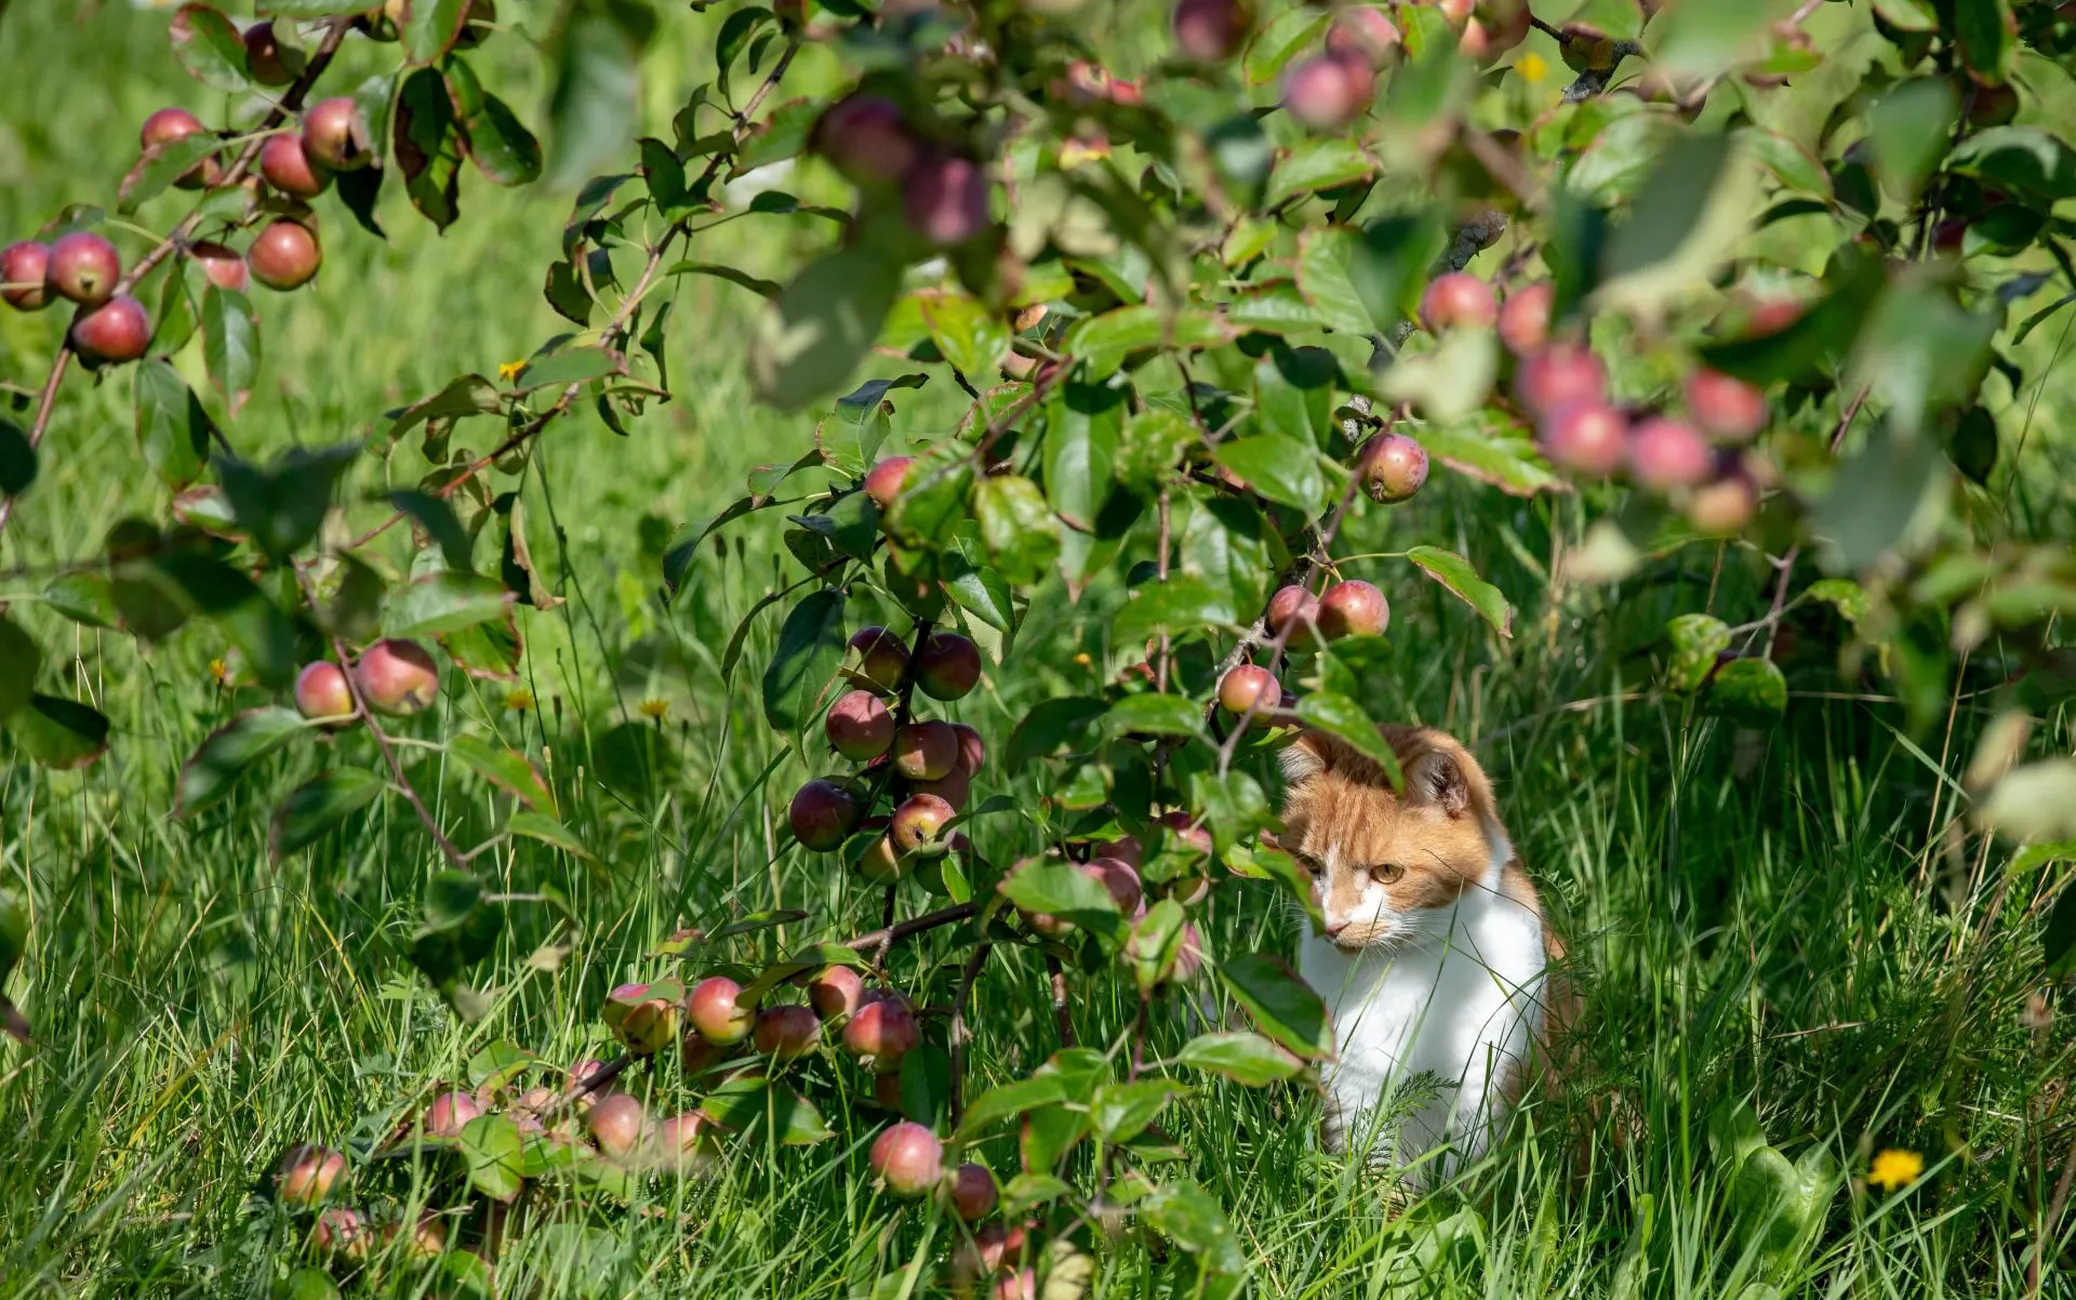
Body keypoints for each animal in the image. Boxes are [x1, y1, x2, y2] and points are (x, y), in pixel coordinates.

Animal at [1278, 722, 1561, 1179]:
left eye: (1387, 872)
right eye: (1310, 865)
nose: (1333, 924)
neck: (1402, 968)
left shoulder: (1482, 1100)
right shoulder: (1353, 1100)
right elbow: (1376, 1183)